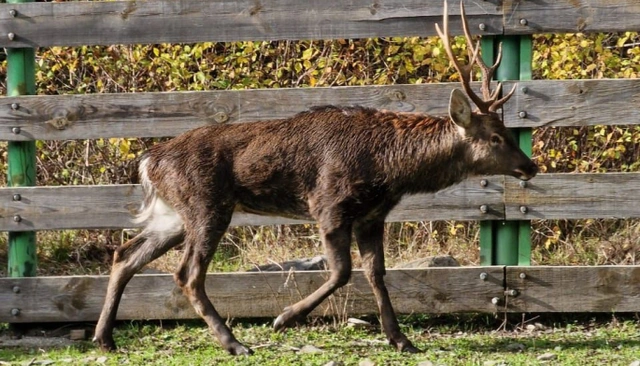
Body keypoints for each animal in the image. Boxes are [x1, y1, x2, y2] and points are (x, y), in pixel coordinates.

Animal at [92, 0, 536, 354]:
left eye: (508, 130)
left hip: (174, 215)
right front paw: (284, 318)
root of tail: (149, 161)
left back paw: (105, 337)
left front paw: (401, 340)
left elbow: (377, 275)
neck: (390, 171)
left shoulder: (373, 215)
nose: (529, 166)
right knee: (187, 274)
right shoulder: (328, 204)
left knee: (125, 255)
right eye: (496, 137)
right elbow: (341, 271)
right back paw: (235, 343)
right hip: (207, 204)